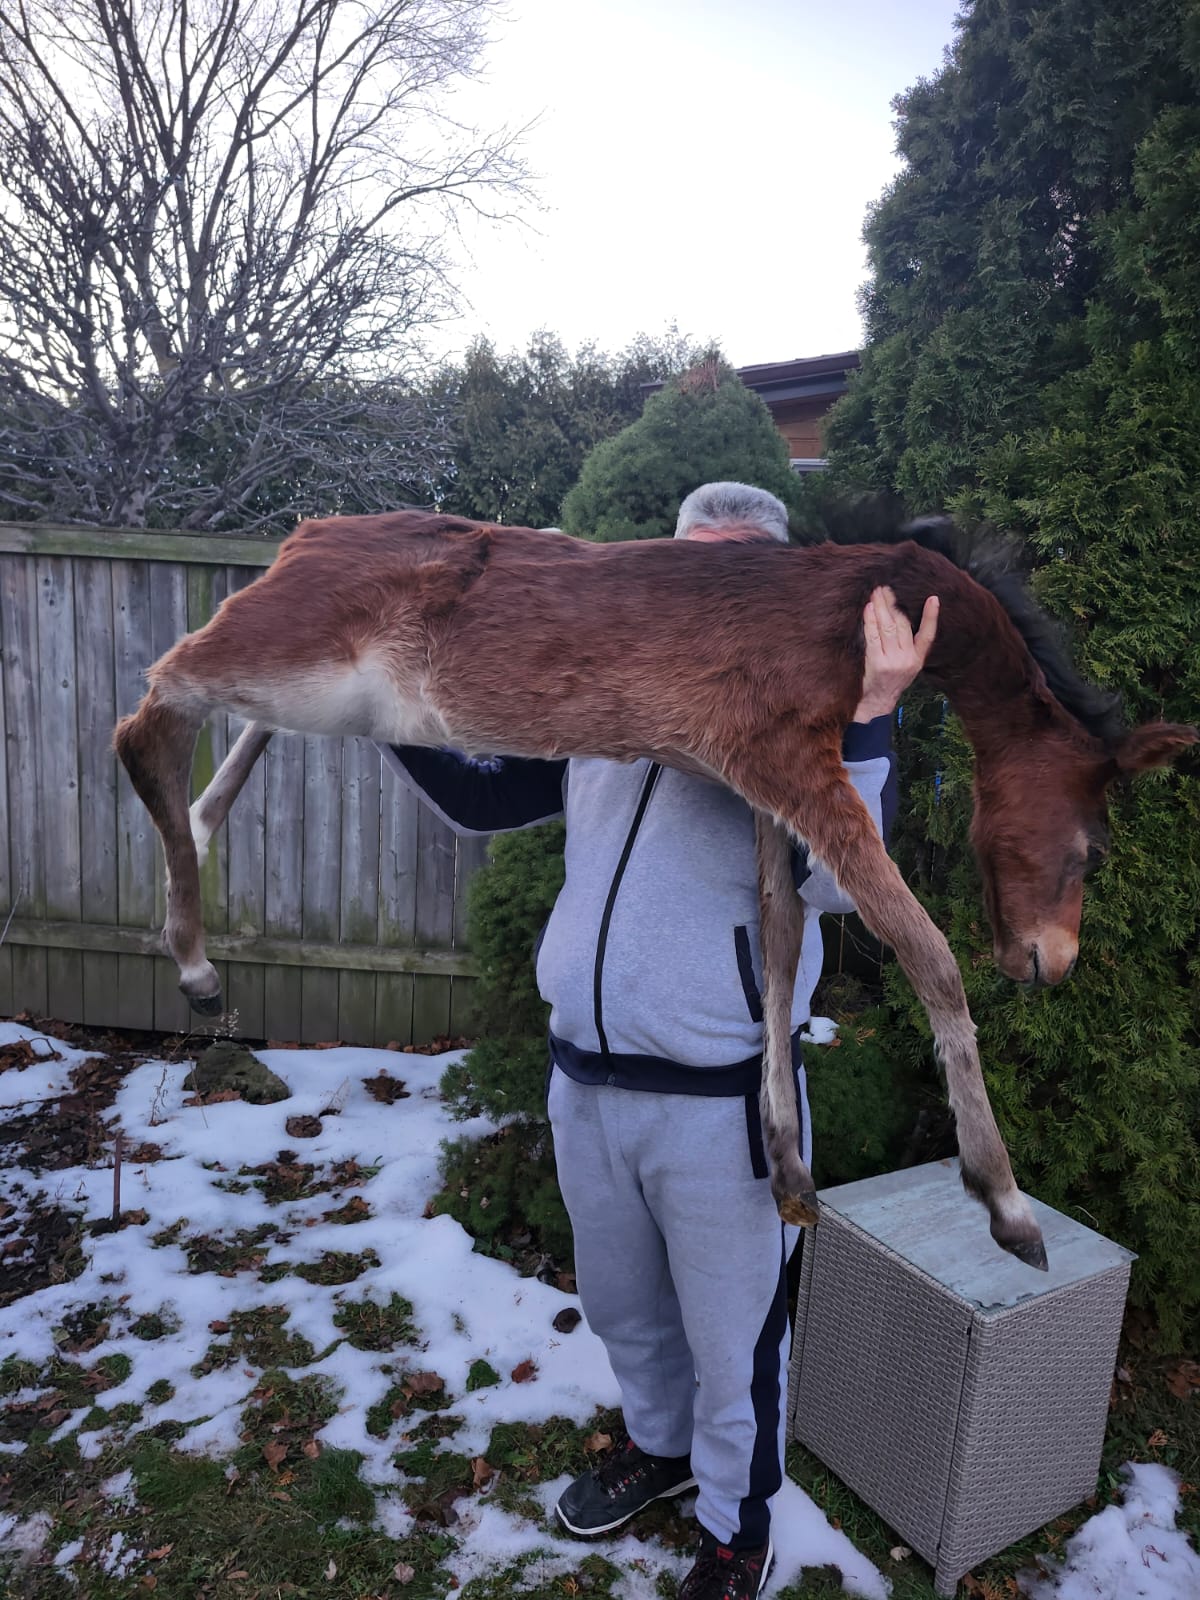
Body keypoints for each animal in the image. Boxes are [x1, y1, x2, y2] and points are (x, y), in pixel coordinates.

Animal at [112, 511, 1197, 1271]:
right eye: (1095, 848)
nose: (1049, 962)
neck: (857, 607)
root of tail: (304, 534)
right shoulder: (783, 756)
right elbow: (926, 952)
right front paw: (1007, 1205)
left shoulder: (764, 790)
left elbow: (779, 947)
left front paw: (789, 1169)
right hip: (284, 648)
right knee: (148, 709)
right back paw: (196, 965)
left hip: (326, 693)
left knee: (212, 735)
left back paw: (196, 859)